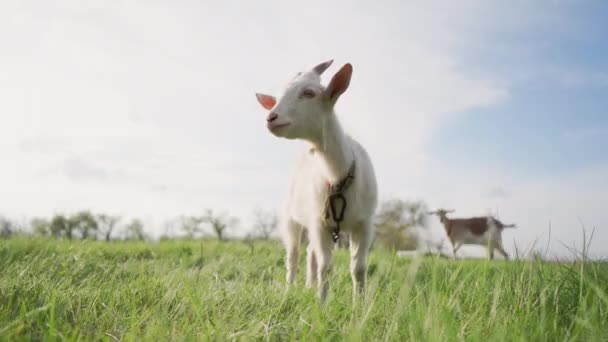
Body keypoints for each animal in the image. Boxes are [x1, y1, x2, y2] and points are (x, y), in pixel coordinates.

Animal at [254, 59, 378, 302]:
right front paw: (321, 304)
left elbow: (358, 268)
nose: (271, 118)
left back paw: (308, 287)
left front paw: (359, 305)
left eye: (309, 93)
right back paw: (290, 290)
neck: (338, 176)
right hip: (292, 218)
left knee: (310, 253)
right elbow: (326, 267)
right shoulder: (320, 224)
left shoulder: (365, 223)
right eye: (278, 96)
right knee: (293, 256)